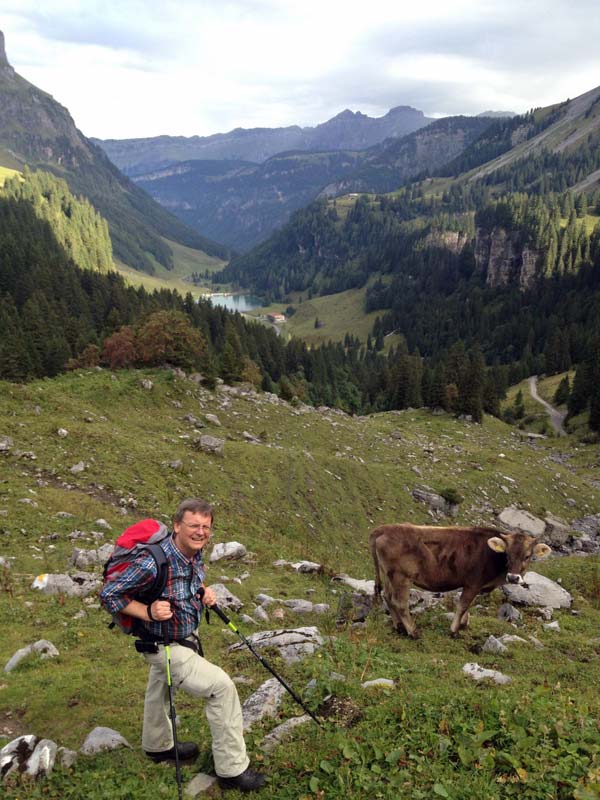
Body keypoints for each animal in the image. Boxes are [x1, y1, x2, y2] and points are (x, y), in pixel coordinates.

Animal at [370, 523, 551, 637]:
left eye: (527, 556)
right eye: (507, 554)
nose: (513, 577)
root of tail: (383, 529)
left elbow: (468, 606)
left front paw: (464, 624)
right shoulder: (473, 583)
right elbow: (463, 605)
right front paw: (454, 631)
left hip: (389, 575)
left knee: (387, 597)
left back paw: (399, 627)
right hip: (401, 577)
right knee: (400, 603)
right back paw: (413, 632)